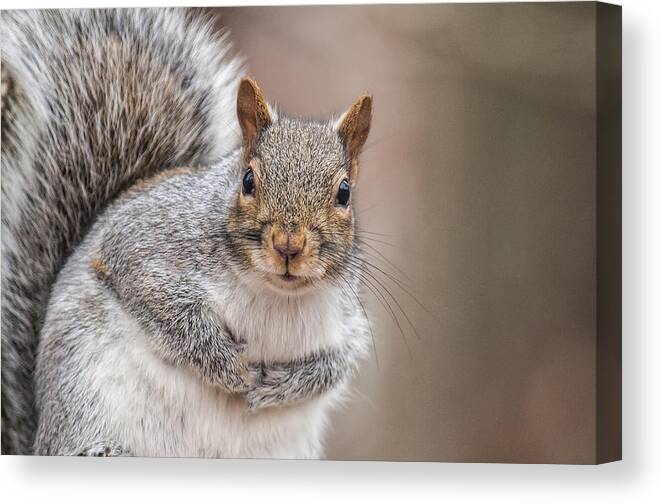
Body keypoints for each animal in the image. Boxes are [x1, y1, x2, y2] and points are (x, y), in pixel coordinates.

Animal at [0, 7, 372, 458]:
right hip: (80, 388)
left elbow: (340, 361)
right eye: (248, 180)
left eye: (344, 193)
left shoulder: (346, 317)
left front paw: (282, 386)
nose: (289, 245)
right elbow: (161, 301)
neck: (275, 295)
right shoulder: (145, 239)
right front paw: (224, 364)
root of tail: (41, 435)